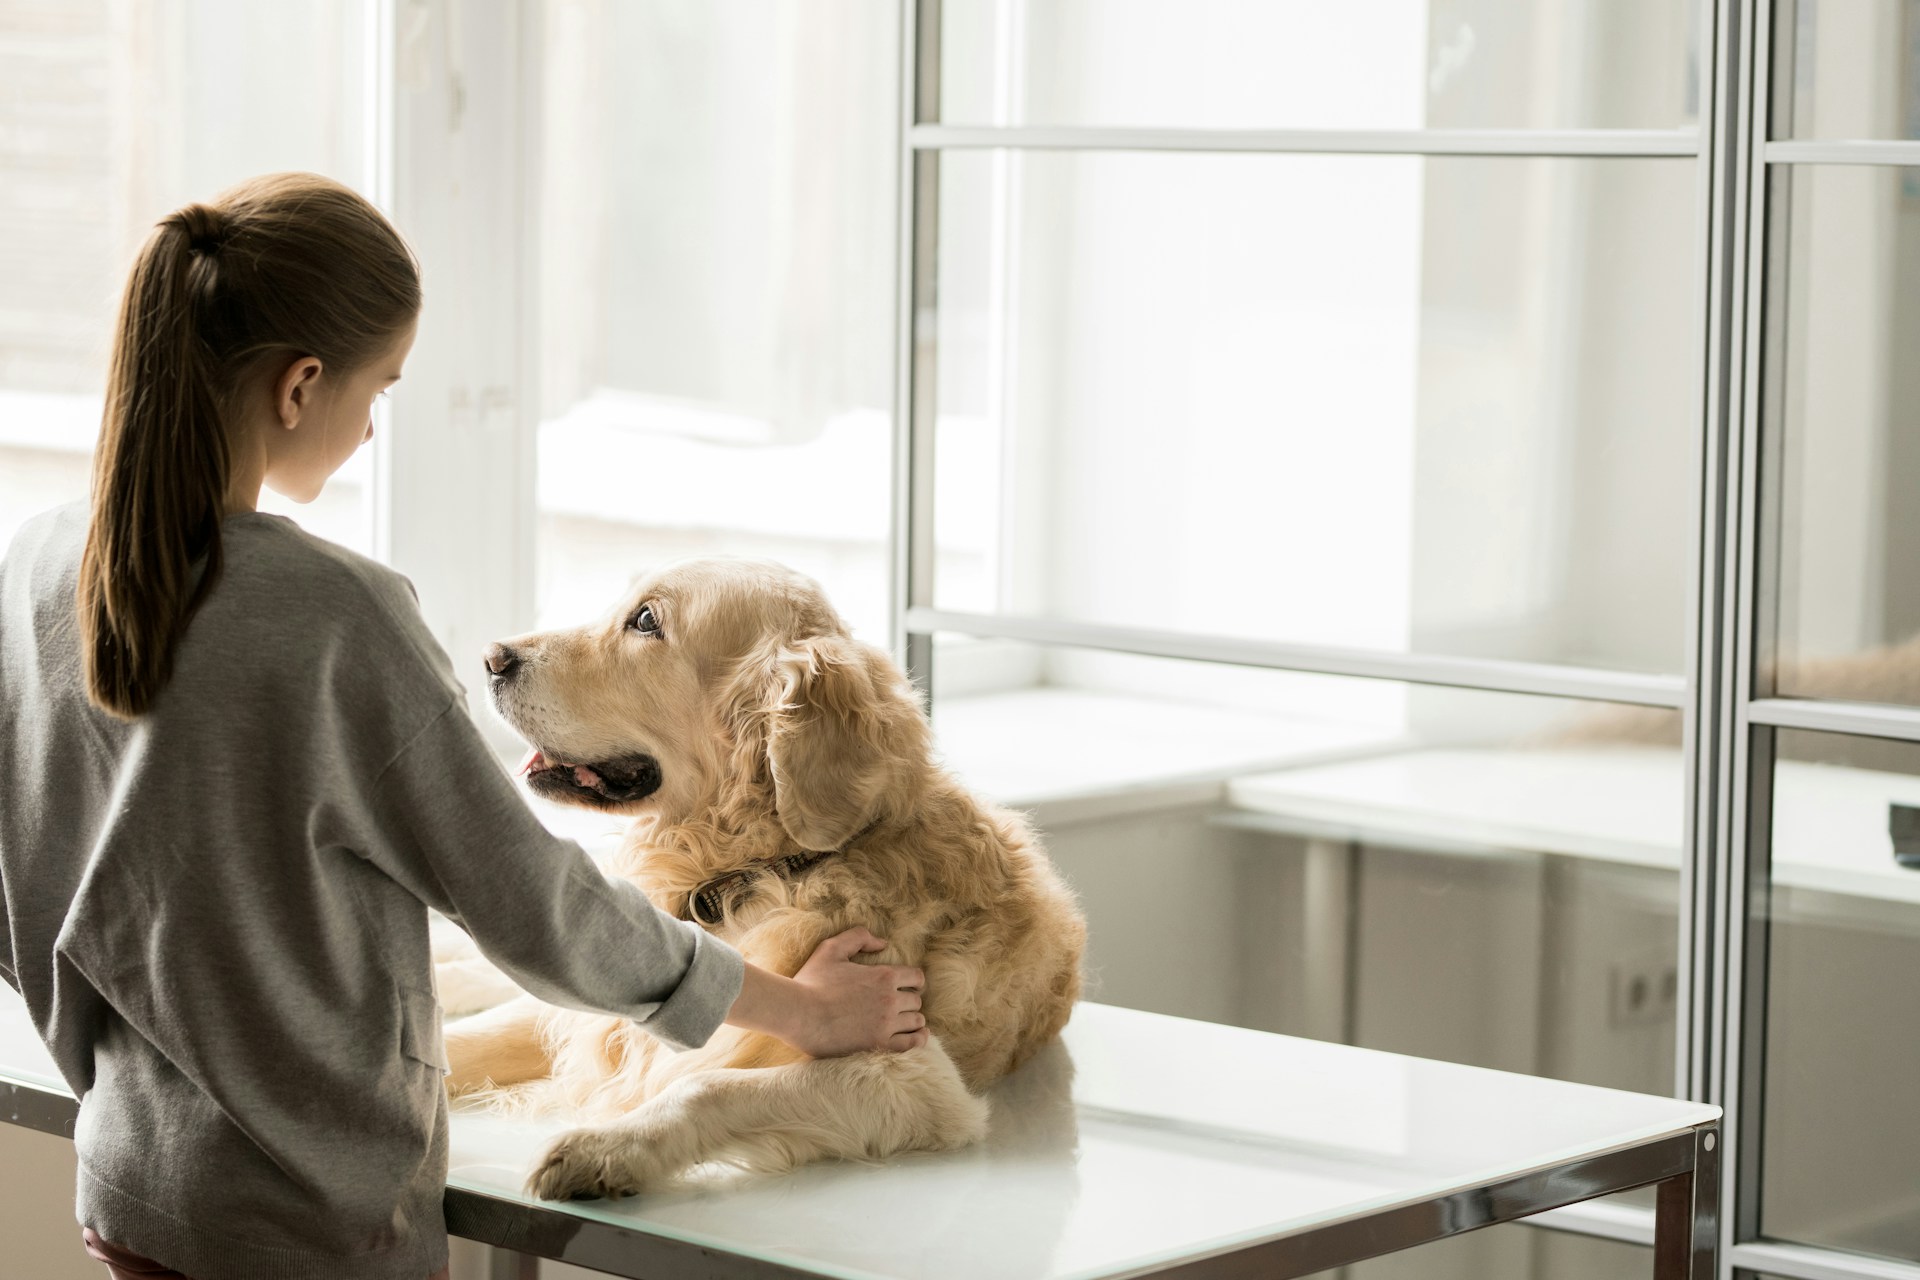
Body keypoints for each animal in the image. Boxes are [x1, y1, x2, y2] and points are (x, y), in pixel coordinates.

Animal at [439, 560, 1090, 1205]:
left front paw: (606, 1147)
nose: (491, 658)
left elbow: (707, 1086)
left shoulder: (915, 1076)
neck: (755, 871)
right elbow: (469, 1040)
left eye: (645, 620)